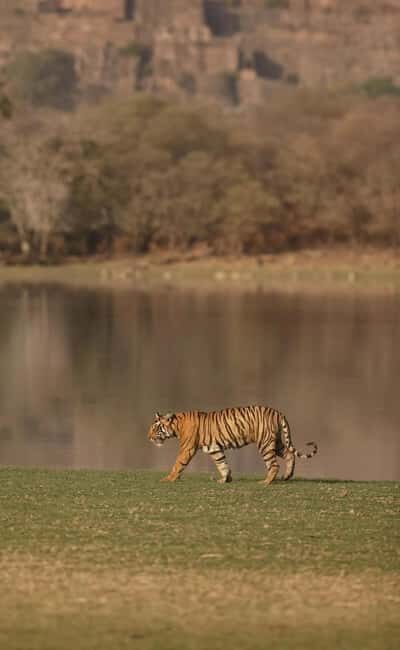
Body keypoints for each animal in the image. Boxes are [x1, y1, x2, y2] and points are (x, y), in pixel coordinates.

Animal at [148, 406, 317, 484]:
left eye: (155, 428)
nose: (148, 437)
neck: (176, 426)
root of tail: (278, 412)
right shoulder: (214, 448)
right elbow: (222, 464)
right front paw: (225, 479)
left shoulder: (187, 448)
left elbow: (178, 464)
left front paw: (168, 479)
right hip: (276, 442)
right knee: (289, 454)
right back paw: (287, 476)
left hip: (265, 443)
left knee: (274, 465)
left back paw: (265, 482)